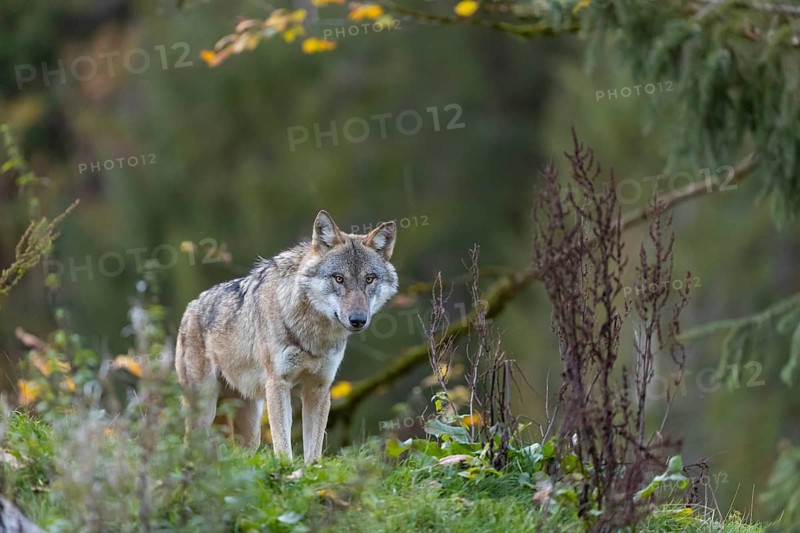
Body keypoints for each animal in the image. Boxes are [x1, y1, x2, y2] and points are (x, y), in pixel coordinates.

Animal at [175, 210, 398, 463]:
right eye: (339, 278)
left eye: (369, 279)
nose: (358, 320)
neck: (313, 334)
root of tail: (190, 307)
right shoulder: (278, 383)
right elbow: (283, 443)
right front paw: (287, 467)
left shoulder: (319, 388)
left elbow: (314, 450)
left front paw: (310, 469)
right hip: (205, 409)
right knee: (190, 446)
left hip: (249, 427)